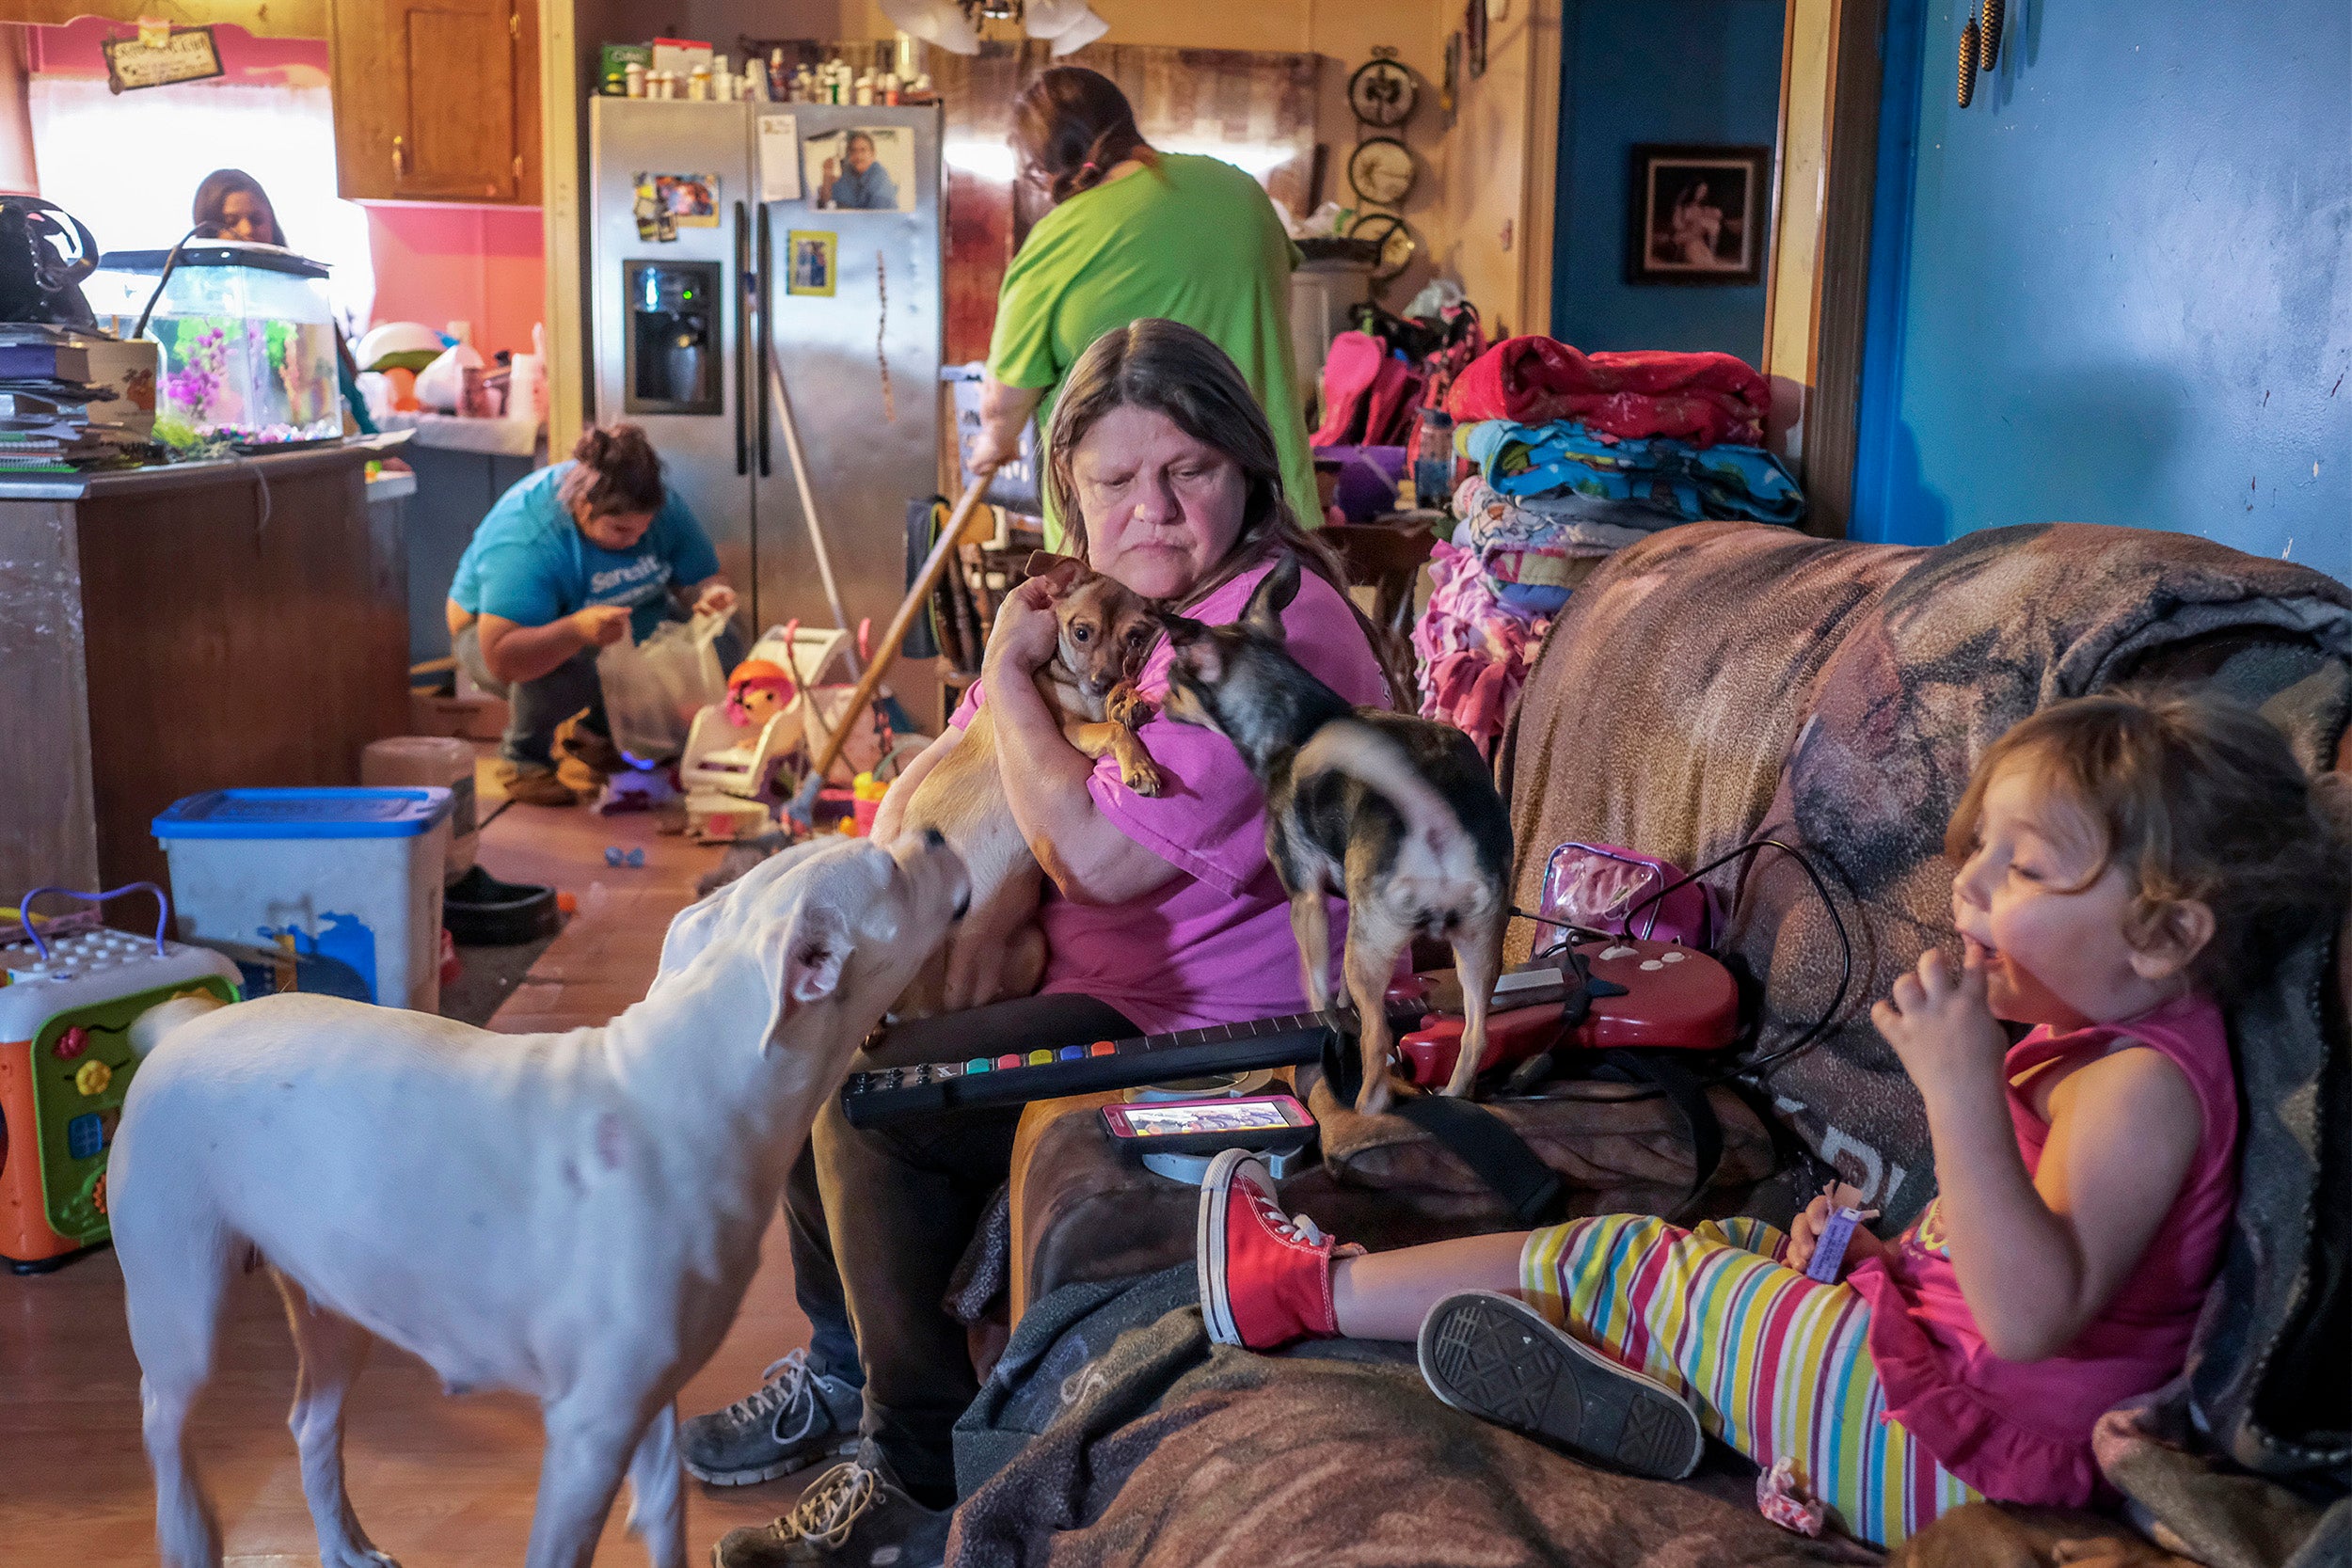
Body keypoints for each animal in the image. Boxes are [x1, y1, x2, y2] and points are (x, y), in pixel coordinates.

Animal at [108, 832, 974, 1568]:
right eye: (891, 868)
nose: (935, 832)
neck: (696, 1083)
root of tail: (181, 1031)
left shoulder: (647, 1406)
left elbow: (666, 1520)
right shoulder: (589, 1433)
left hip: (335, 1305)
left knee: (312, 1426)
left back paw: (344, 1543)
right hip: (184, 1307)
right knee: (162, 1420)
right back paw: (189, 1533)